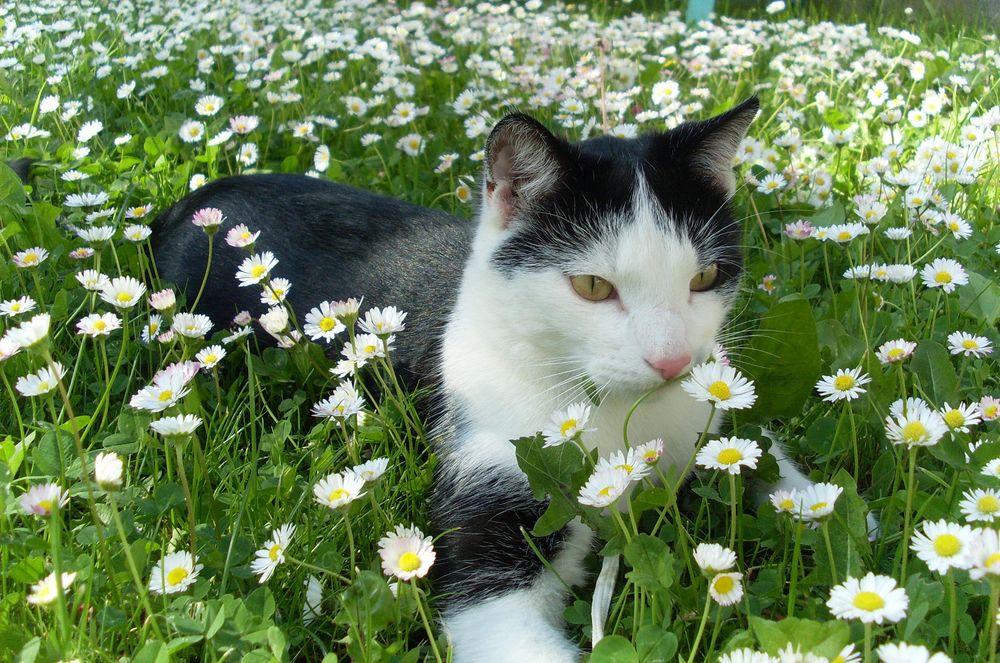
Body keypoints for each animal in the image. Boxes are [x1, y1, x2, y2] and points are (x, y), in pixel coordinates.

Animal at [154, 100, 812, 663]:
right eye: (592, 287)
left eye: (705, 276)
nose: (672, 362)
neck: (620, 413)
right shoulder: (499, 472)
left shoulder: (710, 414)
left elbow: (770, 461)